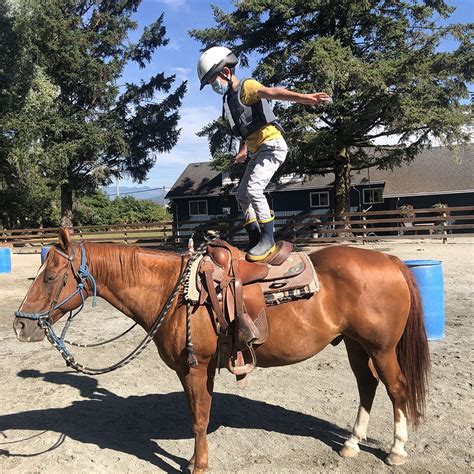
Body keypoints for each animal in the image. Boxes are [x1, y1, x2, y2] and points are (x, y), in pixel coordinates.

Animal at [14, 228, 430, 472]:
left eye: (51, 277)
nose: (20, 324)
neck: (173, 292)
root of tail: (390, 259)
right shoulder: (200, 369)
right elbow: (199, 413)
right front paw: (195, 460)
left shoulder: (195, 367)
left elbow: (199, 418)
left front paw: (198, 466)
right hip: (356, 346)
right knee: (367, 386)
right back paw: (351, 445)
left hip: (381, 348)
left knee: (396, 389)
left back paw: (396, 450)